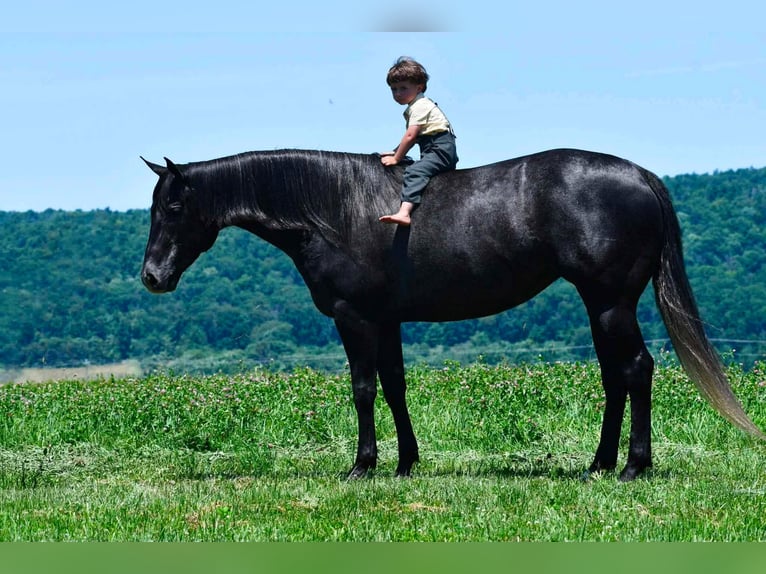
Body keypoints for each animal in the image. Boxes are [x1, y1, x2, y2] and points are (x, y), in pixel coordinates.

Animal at [140, 147, 764, 481]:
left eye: (174, 205)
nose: (152, 277)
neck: (333, 210)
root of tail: (640, 176)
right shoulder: (385, 320)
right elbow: (394, 385)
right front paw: (405, 464)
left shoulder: (354, 317)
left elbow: (363, 388)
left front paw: (362, 466)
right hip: (600, 305)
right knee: (616, 377)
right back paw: (599, 463)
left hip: (611, 303)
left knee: (636, 370)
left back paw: (633, 466)